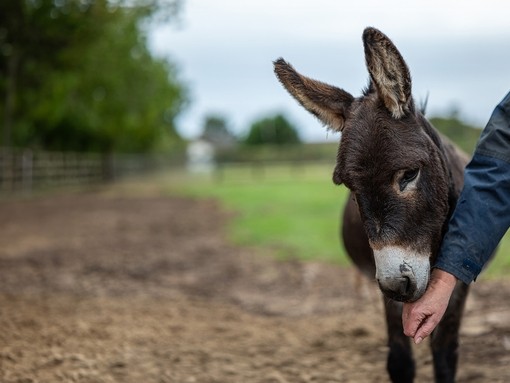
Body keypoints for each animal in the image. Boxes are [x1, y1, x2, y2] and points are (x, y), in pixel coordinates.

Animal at [274, 27, 470, 383]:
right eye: (348, 187)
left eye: (409, 174)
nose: (397, 285)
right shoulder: (389, 290)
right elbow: (400, 360)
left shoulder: (457, 276)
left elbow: (445, 354)